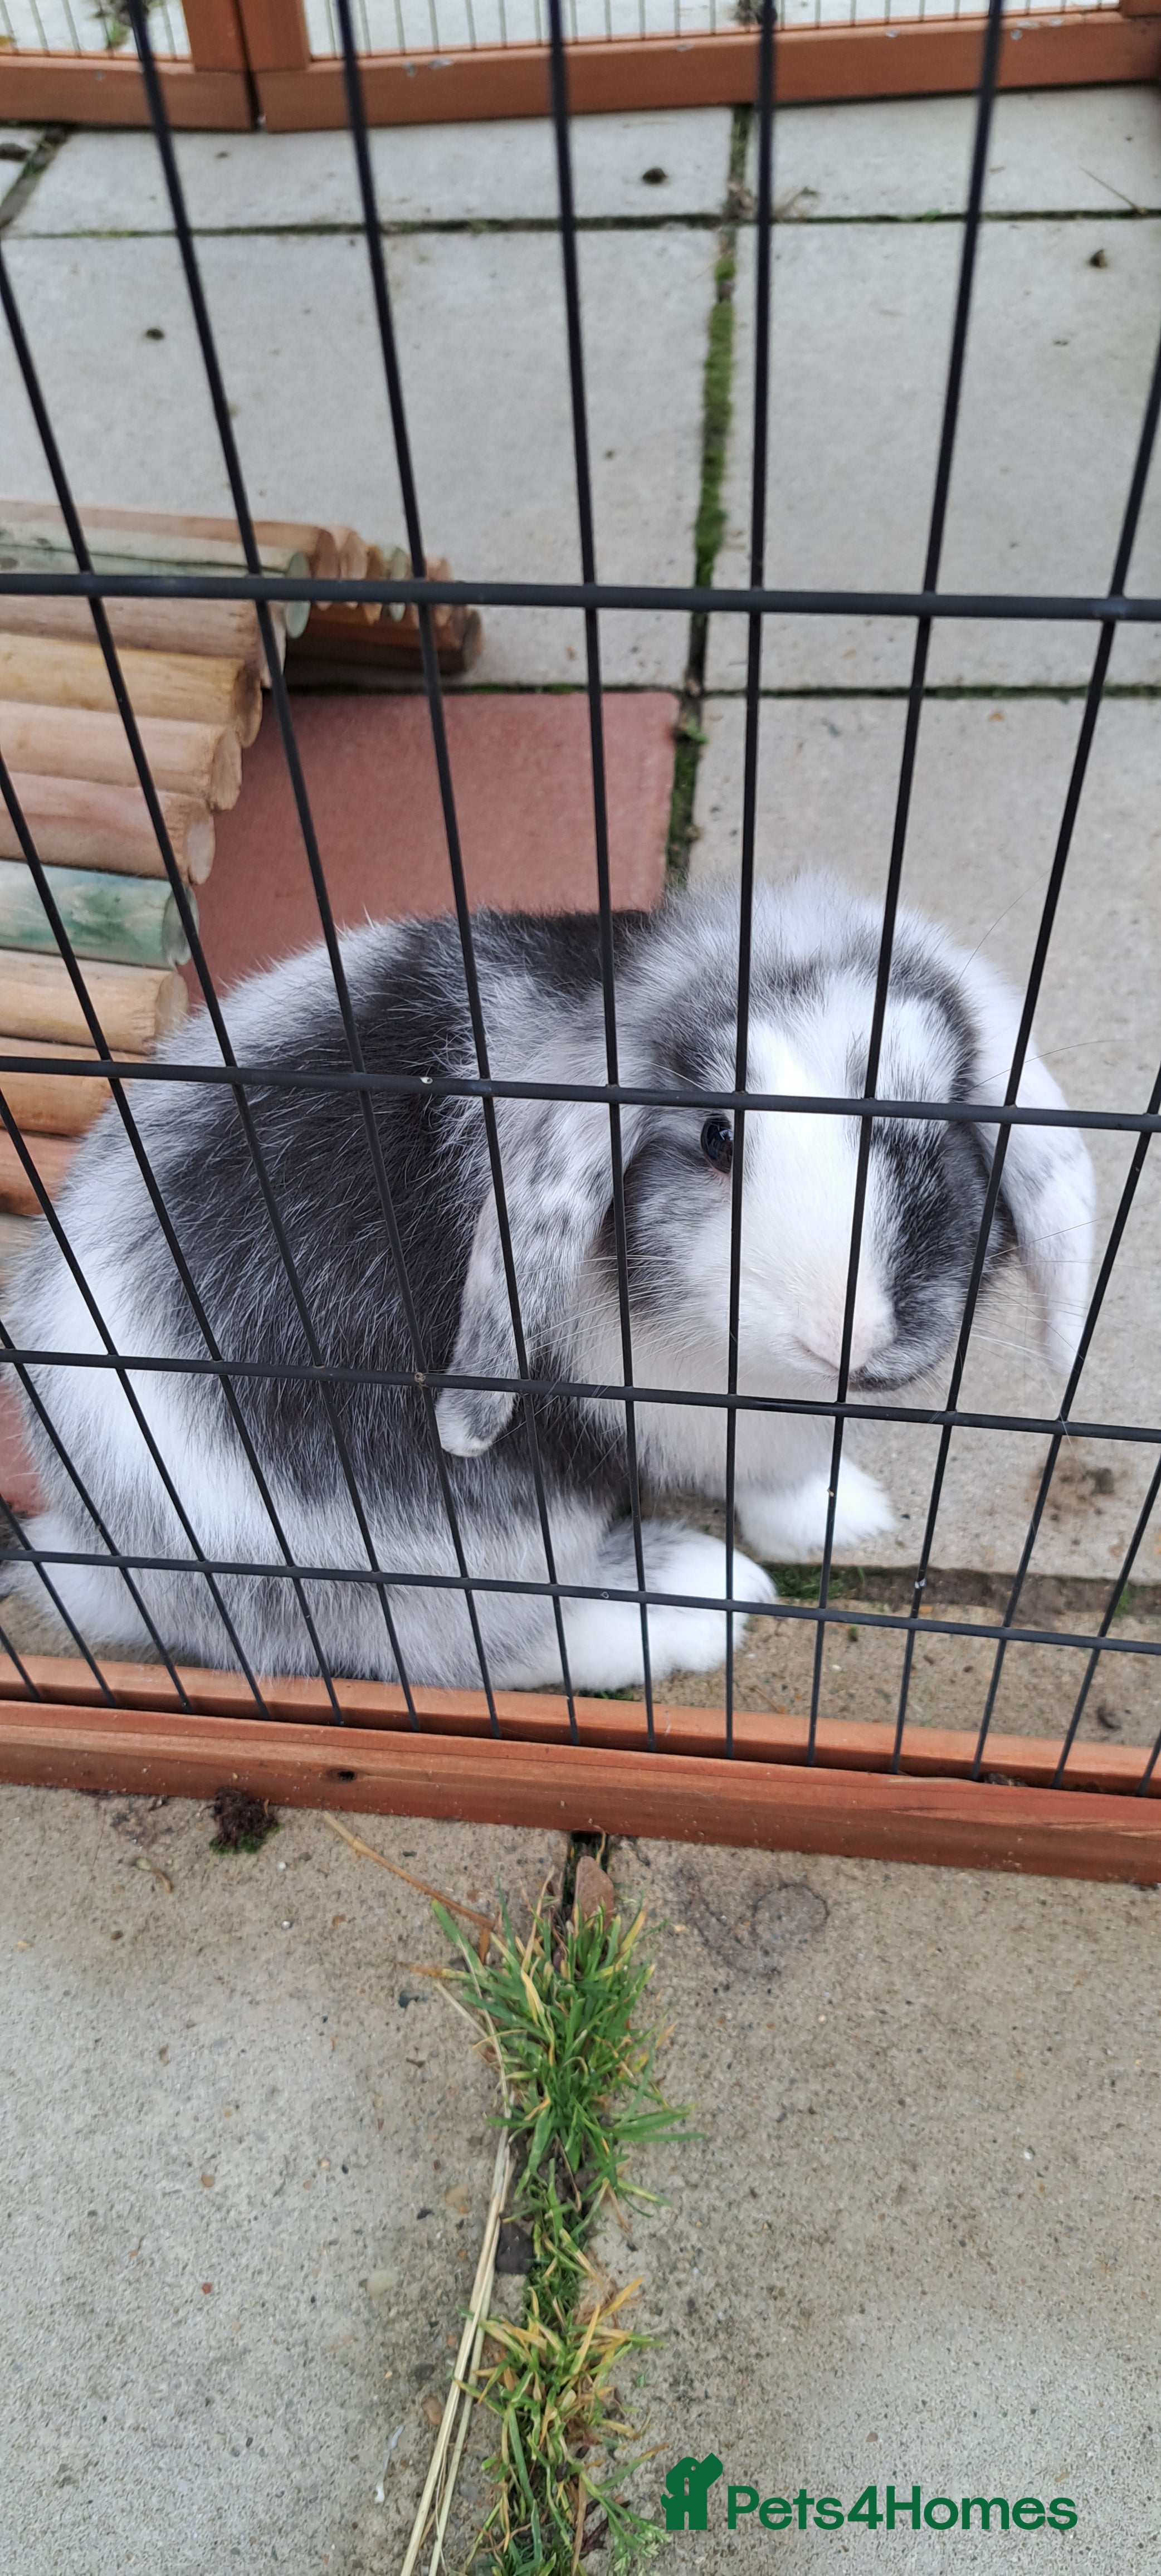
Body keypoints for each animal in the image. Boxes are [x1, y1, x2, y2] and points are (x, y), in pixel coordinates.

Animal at [6, 872, 1094, 1694]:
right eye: (716, 1136)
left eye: (935, 1124)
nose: (844, 1334)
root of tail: (105, 1544)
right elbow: (766, 1477)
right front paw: (821, 1522)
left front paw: (853, 1515)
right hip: (474, 1556)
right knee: (495, 1649)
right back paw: (705, 1600)